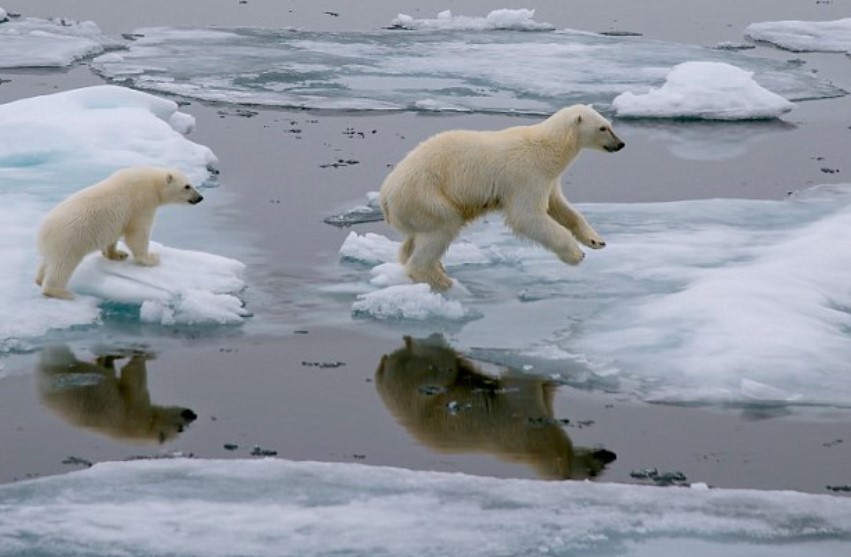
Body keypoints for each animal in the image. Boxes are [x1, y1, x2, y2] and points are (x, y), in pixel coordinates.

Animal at [35, 166, 206, 300]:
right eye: (187, 186)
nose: (200, 197)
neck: (151, 181)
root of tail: (43, 231)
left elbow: (113, 236)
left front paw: (117, 254)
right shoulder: (142, 202)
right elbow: (137, 233)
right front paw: (151, 258)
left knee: (47, 262)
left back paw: (39, 279)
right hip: (69, 239)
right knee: (62, 265)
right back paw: (61, 292)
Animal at [380, 102, 624, 292]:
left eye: (610, 124)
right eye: (603, 128)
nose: (621, 144)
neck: (548, 148)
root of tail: (385, 196)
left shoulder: (549, 180)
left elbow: (560, 207)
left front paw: (596, 240)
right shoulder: (526, 174)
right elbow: (527, 216)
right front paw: (576, 254)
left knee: (414, 240)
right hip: (426, 196)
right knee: (443, 227)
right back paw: (442, 280)